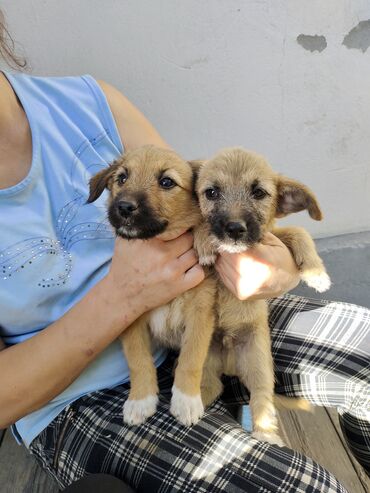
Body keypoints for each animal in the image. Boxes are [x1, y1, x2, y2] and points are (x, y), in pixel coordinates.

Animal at [88, 144, 217, 424]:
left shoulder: (200, 314)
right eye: (122, 178)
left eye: (167, 182)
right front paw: (140, 400)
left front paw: (186, 400)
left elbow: (192, 358)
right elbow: (138, 360)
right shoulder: (131, 317)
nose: (124, 207)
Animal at [194, 148, 330, 444]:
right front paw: (203, 240)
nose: (234, 229)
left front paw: (316, 273)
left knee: (261, 398)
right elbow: (197, 224)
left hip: (259, 365)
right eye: (211, 192)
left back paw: (266, 434)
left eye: (258, 192)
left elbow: (298, 231)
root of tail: (229, 363)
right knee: (209, 388)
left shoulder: (271, 236)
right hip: (205, 367)